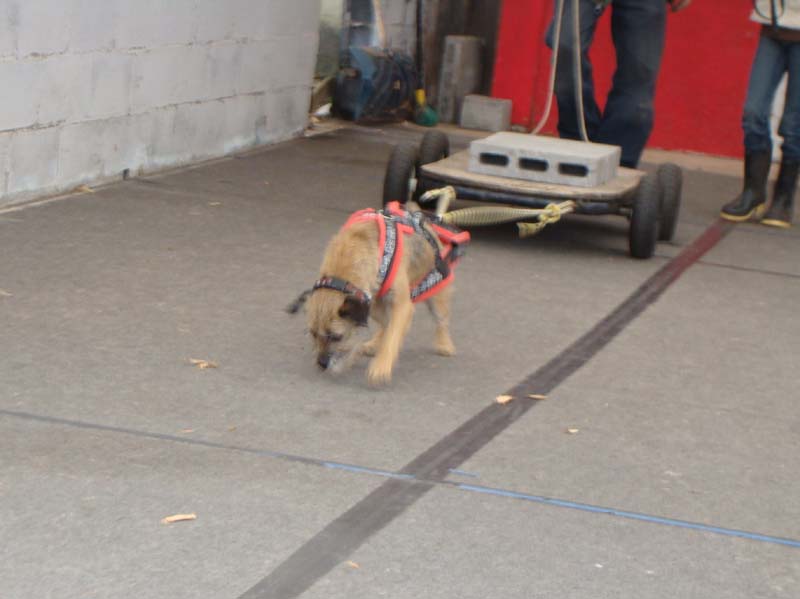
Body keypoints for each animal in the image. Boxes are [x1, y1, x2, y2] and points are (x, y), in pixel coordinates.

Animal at [290, 199, 468, 386]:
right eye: (312, 333)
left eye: (336, 337)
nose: (322, 363)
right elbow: (388, 327)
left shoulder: (402, 306)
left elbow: (392, 336)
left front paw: (381, 366)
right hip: (375, 305)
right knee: (385, 323)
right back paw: (374, 343)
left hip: (436, 295)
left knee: (440, 321)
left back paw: (444, 344)